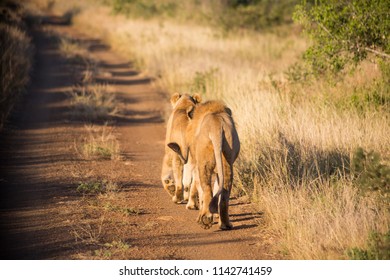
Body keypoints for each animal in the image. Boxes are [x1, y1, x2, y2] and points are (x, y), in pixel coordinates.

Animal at [168, 100, 239, 230]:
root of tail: (217, 125)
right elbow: (216, 187)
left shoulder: (196, 164)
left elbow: (196, 186)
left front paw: (191, 205)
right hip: (227, 161)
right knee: (224, 193)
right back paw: (225, 224)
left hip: (203, 163)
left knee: (206, 189)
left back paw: (205, 218)